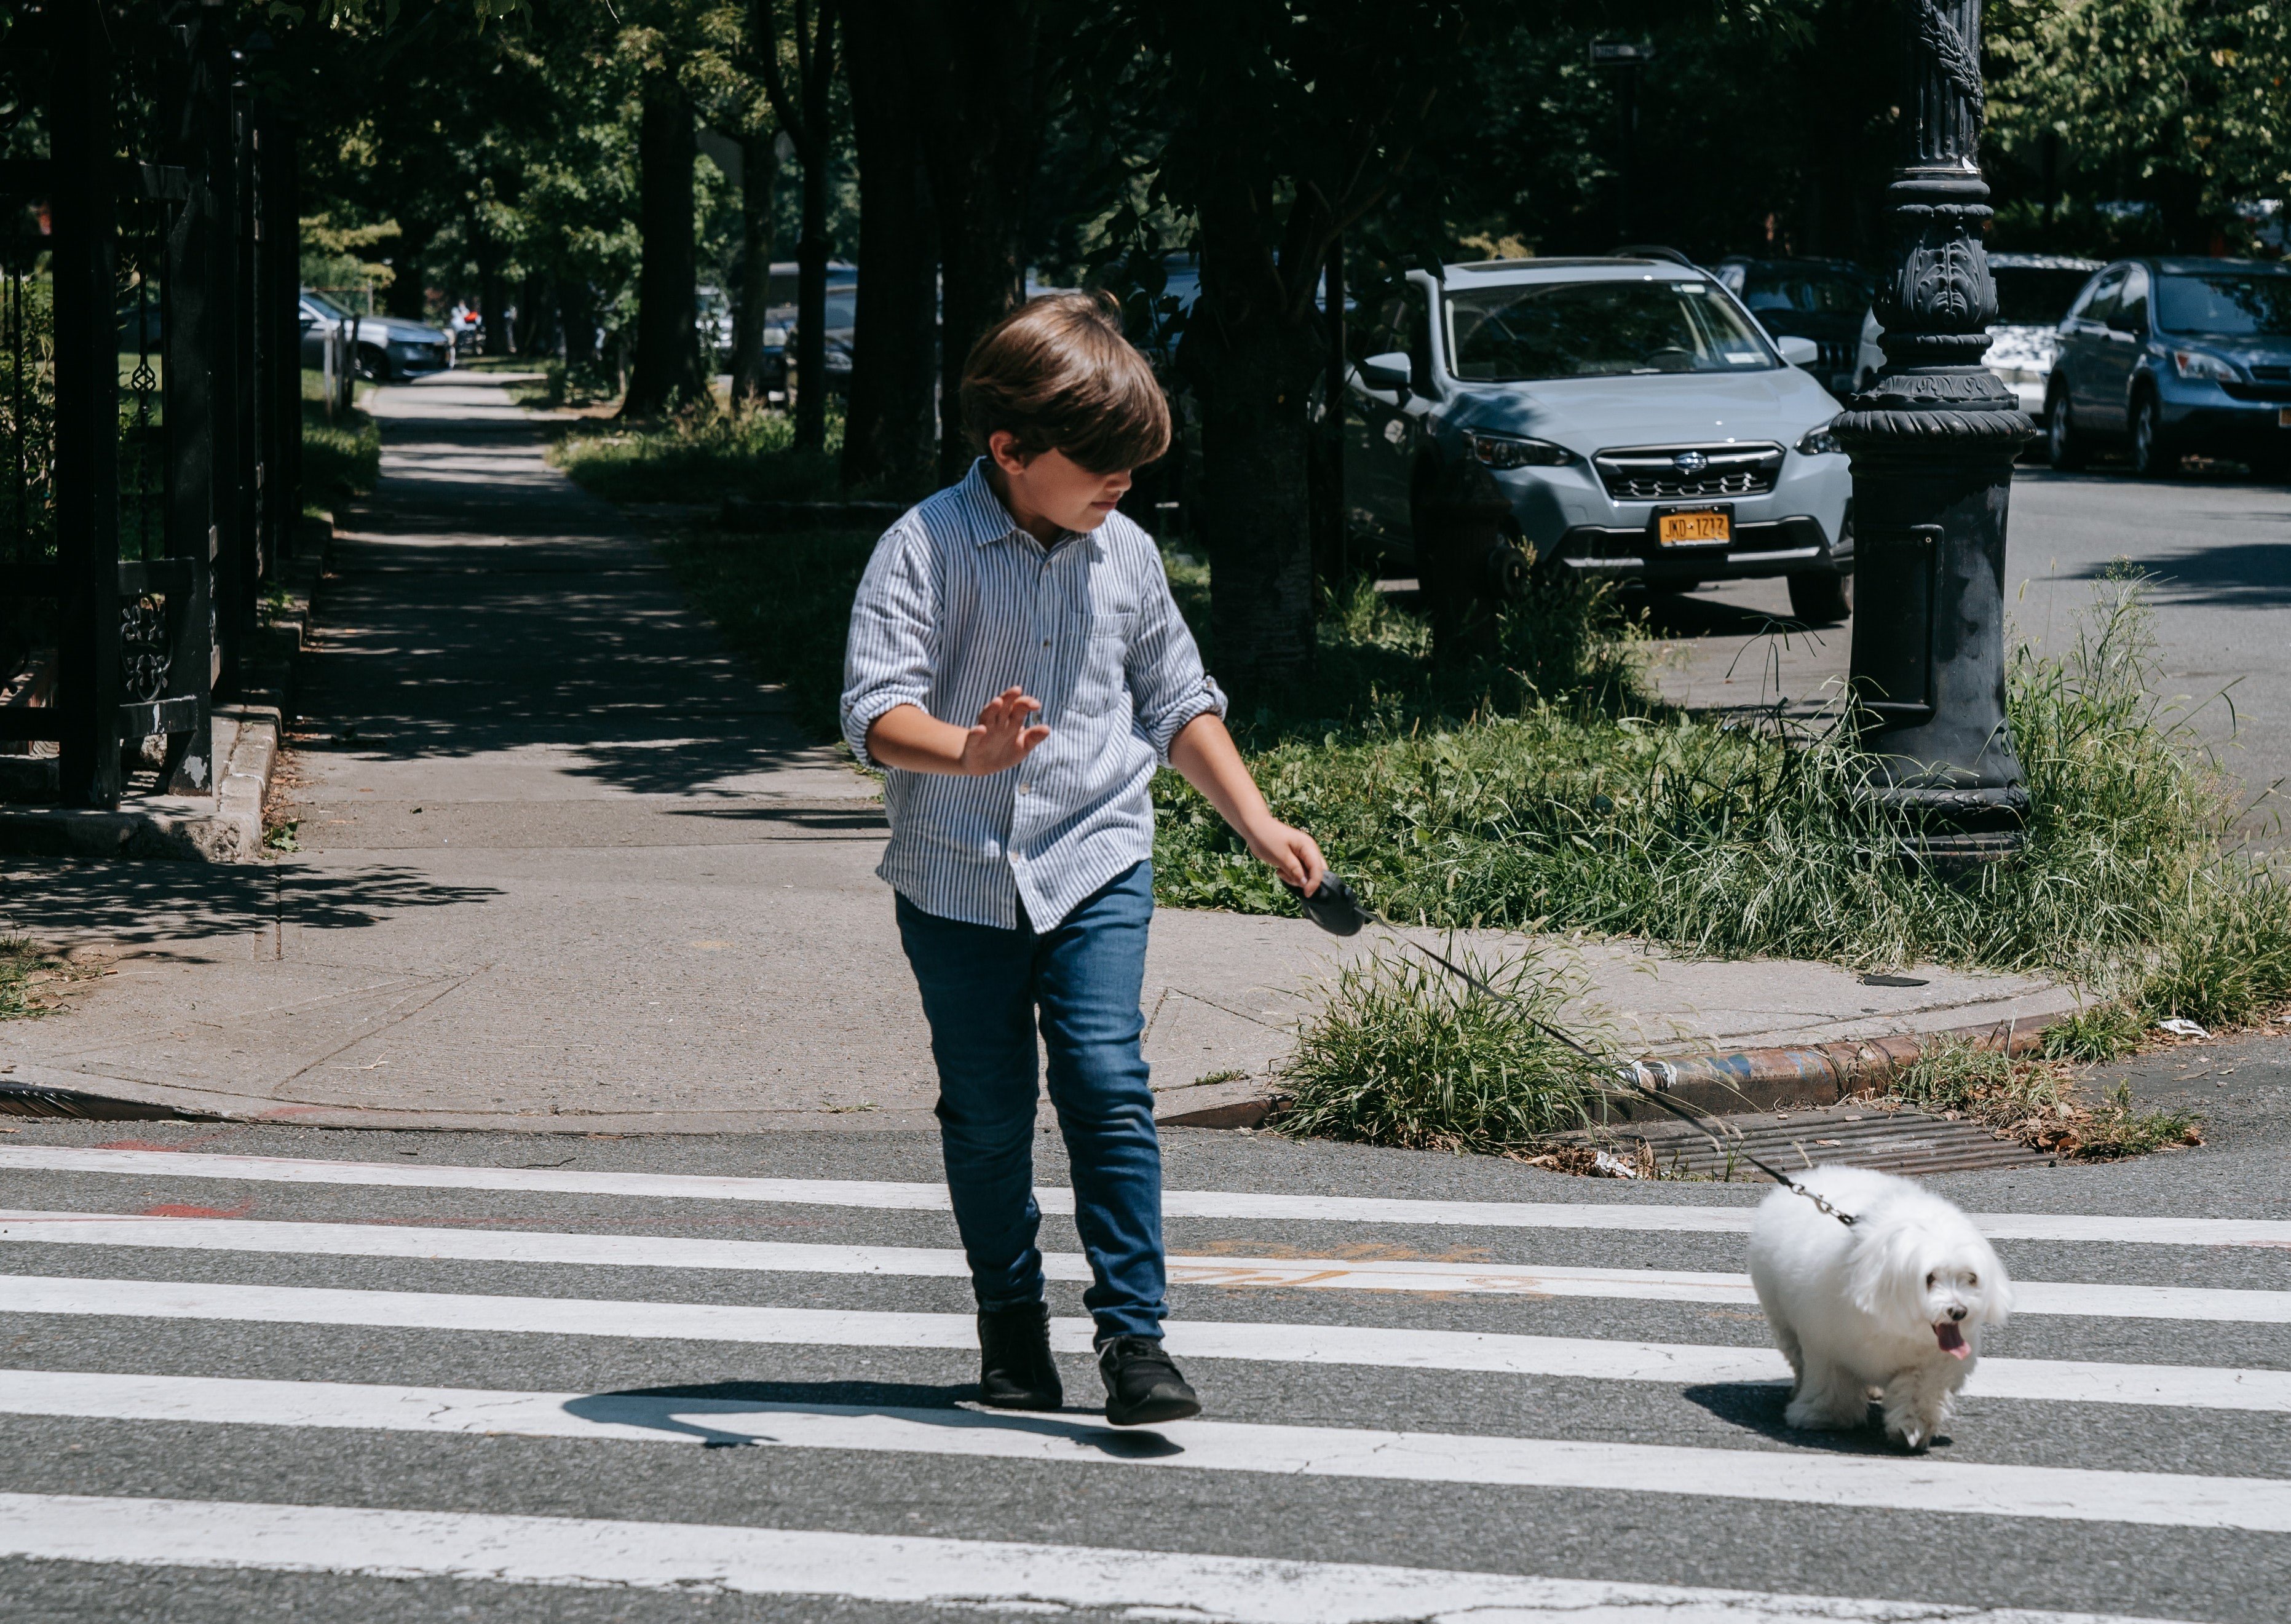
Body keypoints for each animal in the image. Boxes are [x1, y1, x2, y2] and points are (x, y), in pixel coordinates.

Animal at [1750, 1159, 2006, 1448]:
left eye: (1970, 1278)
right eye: (1929, 1278)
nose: (1959, 1312)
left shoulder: (1931, 1363)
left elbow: (1918, 1391)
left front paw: (1911, 1428)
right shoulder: (1827, 1344)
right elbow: (1831, 1382)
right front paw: (1824, 1416)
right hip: (1782, 1319)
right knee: (1797, 1356)